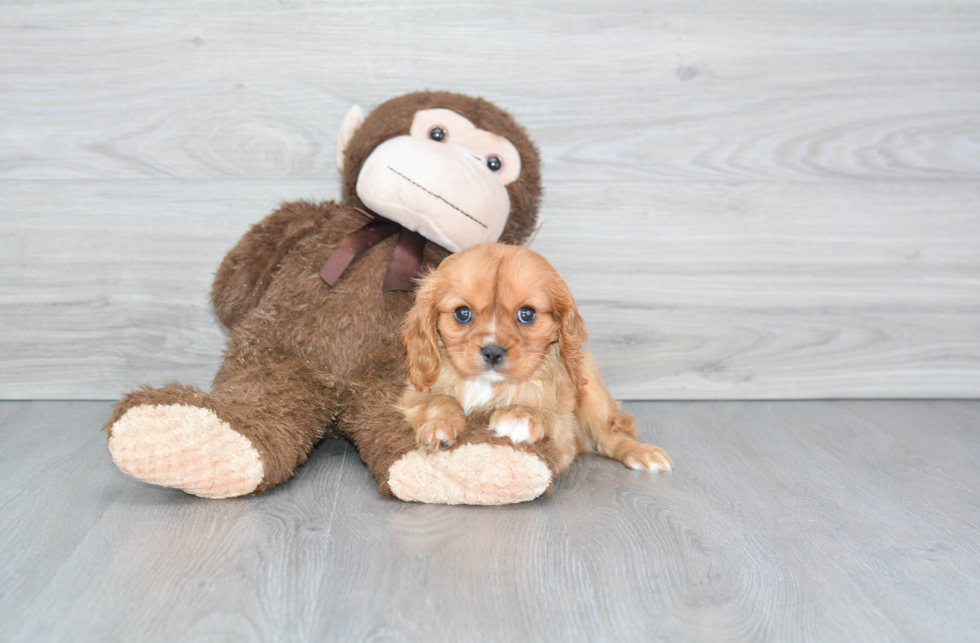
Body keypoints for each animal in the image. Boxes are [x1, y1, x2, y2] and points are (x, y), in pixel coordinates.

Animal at [398, 244, 672, 476]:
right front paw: (439, 426)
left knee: (608, 436)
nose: (493, 352)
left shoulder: (564, 432)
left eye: (527, 314)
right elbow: (440, 399)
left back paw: (642, 453)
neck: (490, 385)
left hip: (592, 390)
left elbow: (549, 416)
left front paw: (521, 416)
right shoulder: (414, 395)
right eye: (462, 313)